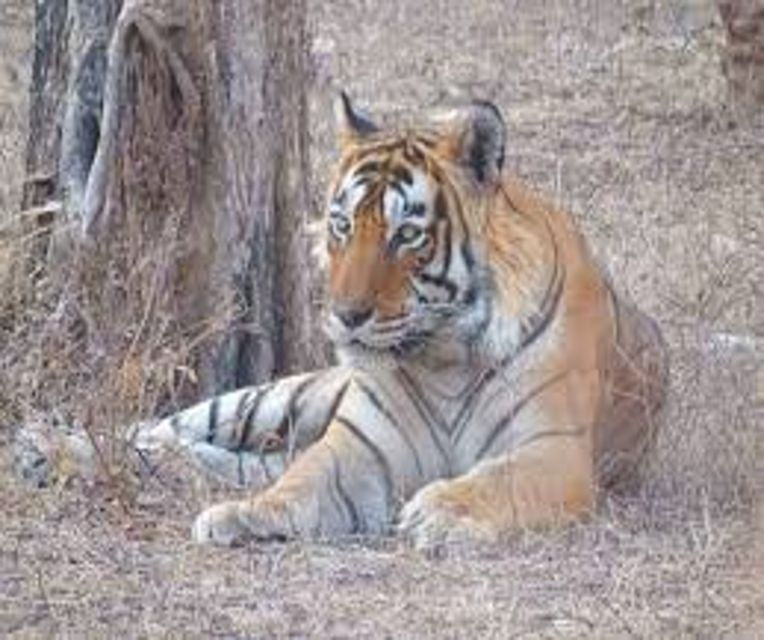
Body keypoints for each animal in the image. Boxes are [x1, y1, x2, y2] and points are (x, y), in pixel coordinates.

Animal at [136, 93, 669, 550]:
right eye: (342, 225)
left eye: (407, 235)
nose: (345, 315)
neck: (446, 355)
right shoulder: (361, 446)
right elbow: (301, 480)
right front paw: (243, 513)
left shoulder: (552, 450)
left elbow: (497, 481)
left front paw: (440, 510)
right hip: (283, 396)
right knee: (192, 426)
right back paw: (137, 446)